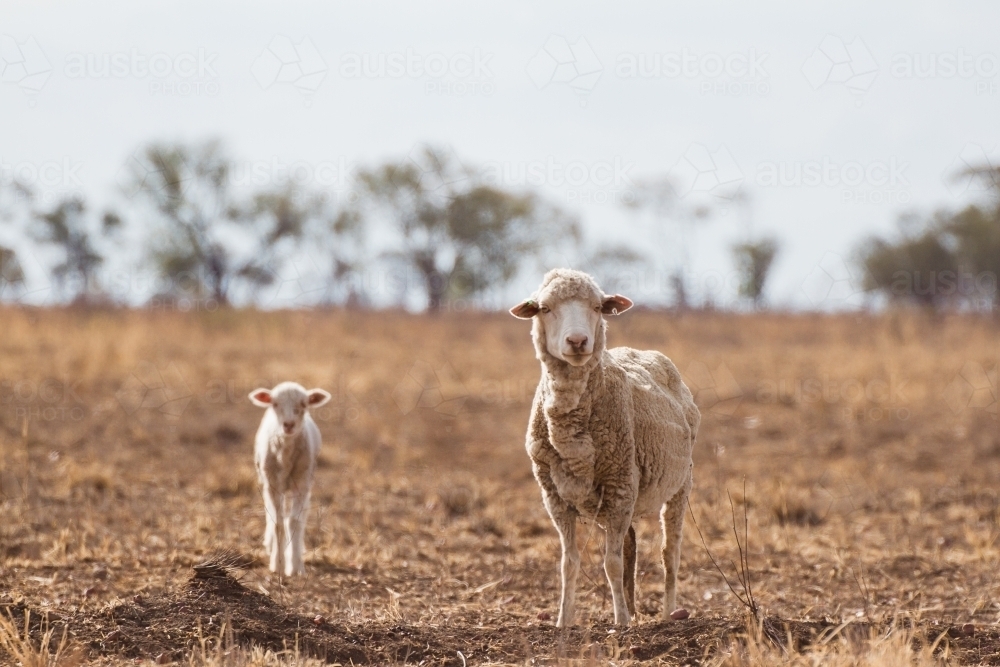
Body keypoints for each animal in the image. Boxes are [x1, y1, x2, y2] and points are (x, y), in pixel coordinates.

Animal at [249, 381, 331, 576]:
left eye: (304, 404)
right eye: (275, 404)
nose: (288, 424)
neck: (285, 456)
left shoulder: (301, 484)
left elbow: (294, 521)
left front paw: (295, 566)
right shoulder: (272, 484)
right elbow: (278, 522)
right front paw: (277, 564)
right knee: (271, 515)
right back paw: (270, 544)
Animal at [509, 268, 700, 627]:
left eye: (597, 307)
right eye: (545, 308)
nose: (577, 341)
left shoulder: (619, 486)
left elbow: (610, 564)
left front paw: (621, 623)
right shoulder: (555, 497)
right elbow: (568, 563)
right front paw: (564, 621)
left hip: (679, 484)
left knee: (670, 553)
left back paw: (667, 613)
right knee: (630, 547)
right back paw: (633, 608)